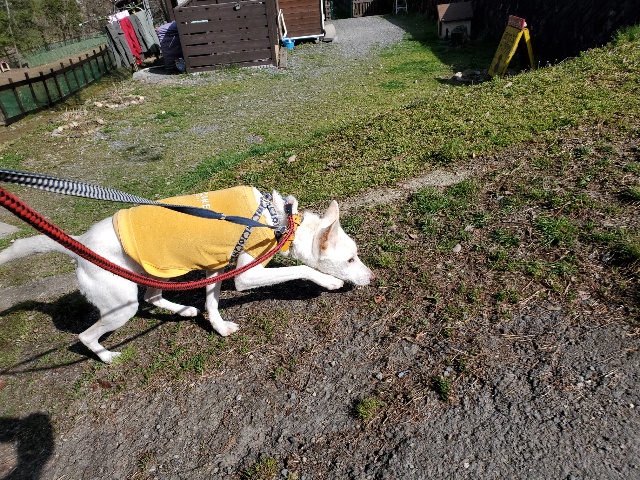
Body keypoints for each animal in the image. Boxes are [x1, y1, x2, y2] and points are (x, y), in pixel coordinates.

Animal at [0, 186, 374, 363]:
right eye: (351, 259)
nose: (372, 279)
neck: (280, 221)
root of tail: (81, 245)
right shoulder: (245, 273)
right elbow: (299, 269)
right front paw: (328, 281)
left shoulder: (214, 265)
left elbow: (212, 302)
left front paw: (218, 327)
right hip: (120, 306)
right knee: (85, 336)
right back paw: (106, 356)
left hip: (157, 270)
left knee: (153, 295)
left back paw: (182, 310)